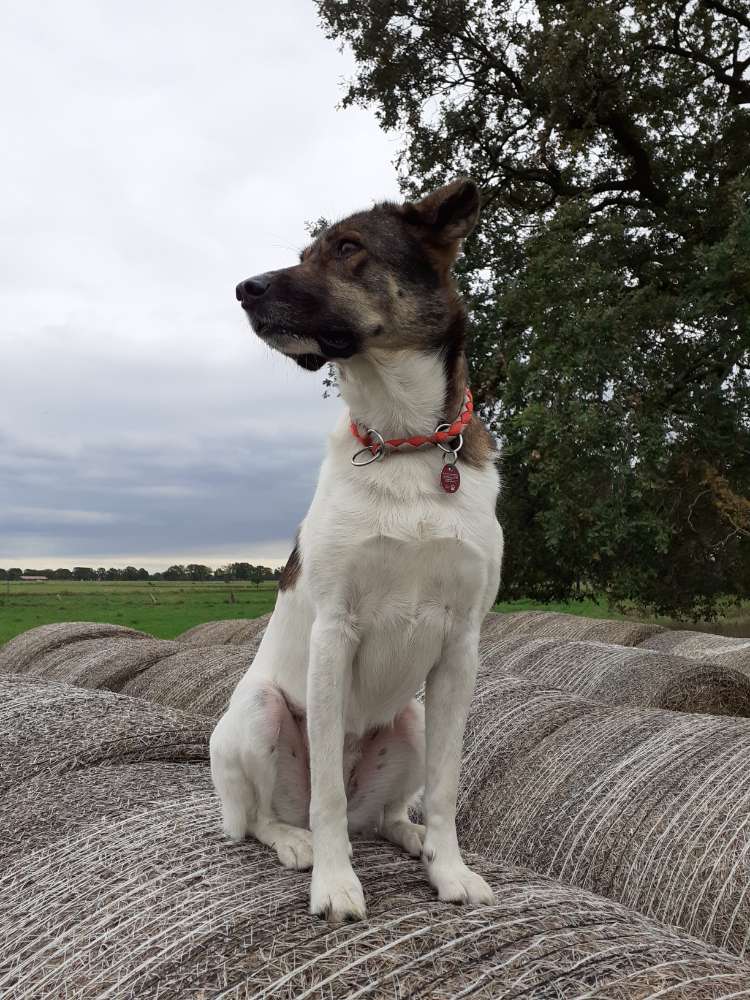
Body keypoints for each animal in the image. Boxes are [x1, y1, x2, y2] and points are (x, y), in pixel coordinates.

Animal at [212, 178, 506, 920]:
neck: (403, 442)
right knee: (267, 817)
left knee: (381, 814)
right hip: (257, 715)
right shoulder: (334, 630)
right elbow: (327, 797)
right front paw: (336, 883)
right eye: (302, 255)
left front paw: (449, 869)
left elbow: (447, 787)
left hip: (411, 719)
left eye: (348, 249)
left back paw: (411, 838)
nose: (245, 289)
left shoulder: (461, 644)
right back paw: (295, 843)